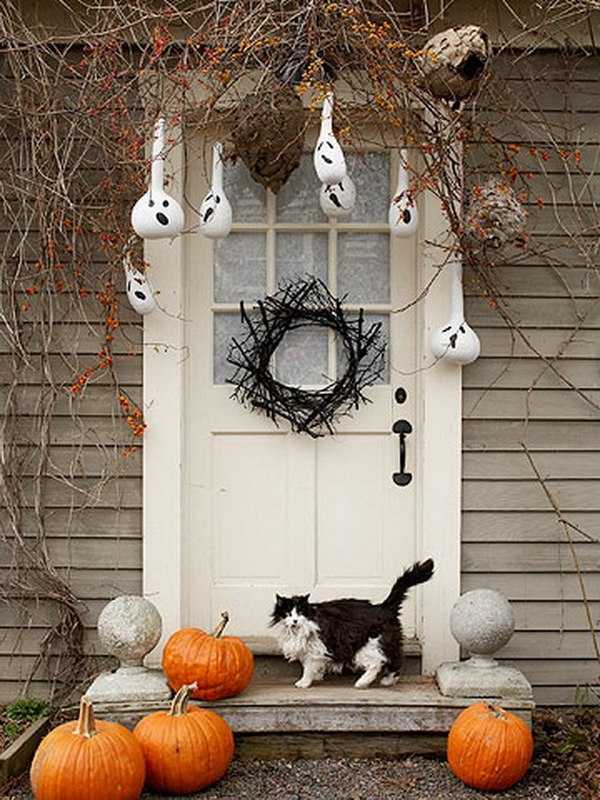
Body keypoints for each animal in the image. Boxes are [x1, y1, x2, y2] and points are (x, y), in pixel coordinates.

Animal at [270, 560, 434, 692]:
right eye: (288, 614)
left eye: (300, 613)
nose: (295, 621)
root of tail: (383, 607)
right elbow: (314, 666)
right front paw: (317, 676)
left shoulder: (315, 649)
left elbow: (308, 668)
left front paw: (304, 682)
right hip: (387, 643)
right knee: (396, 658)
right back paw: (388, 681)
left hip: (366, 646)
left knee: (377, 662)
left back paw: (362, 683)